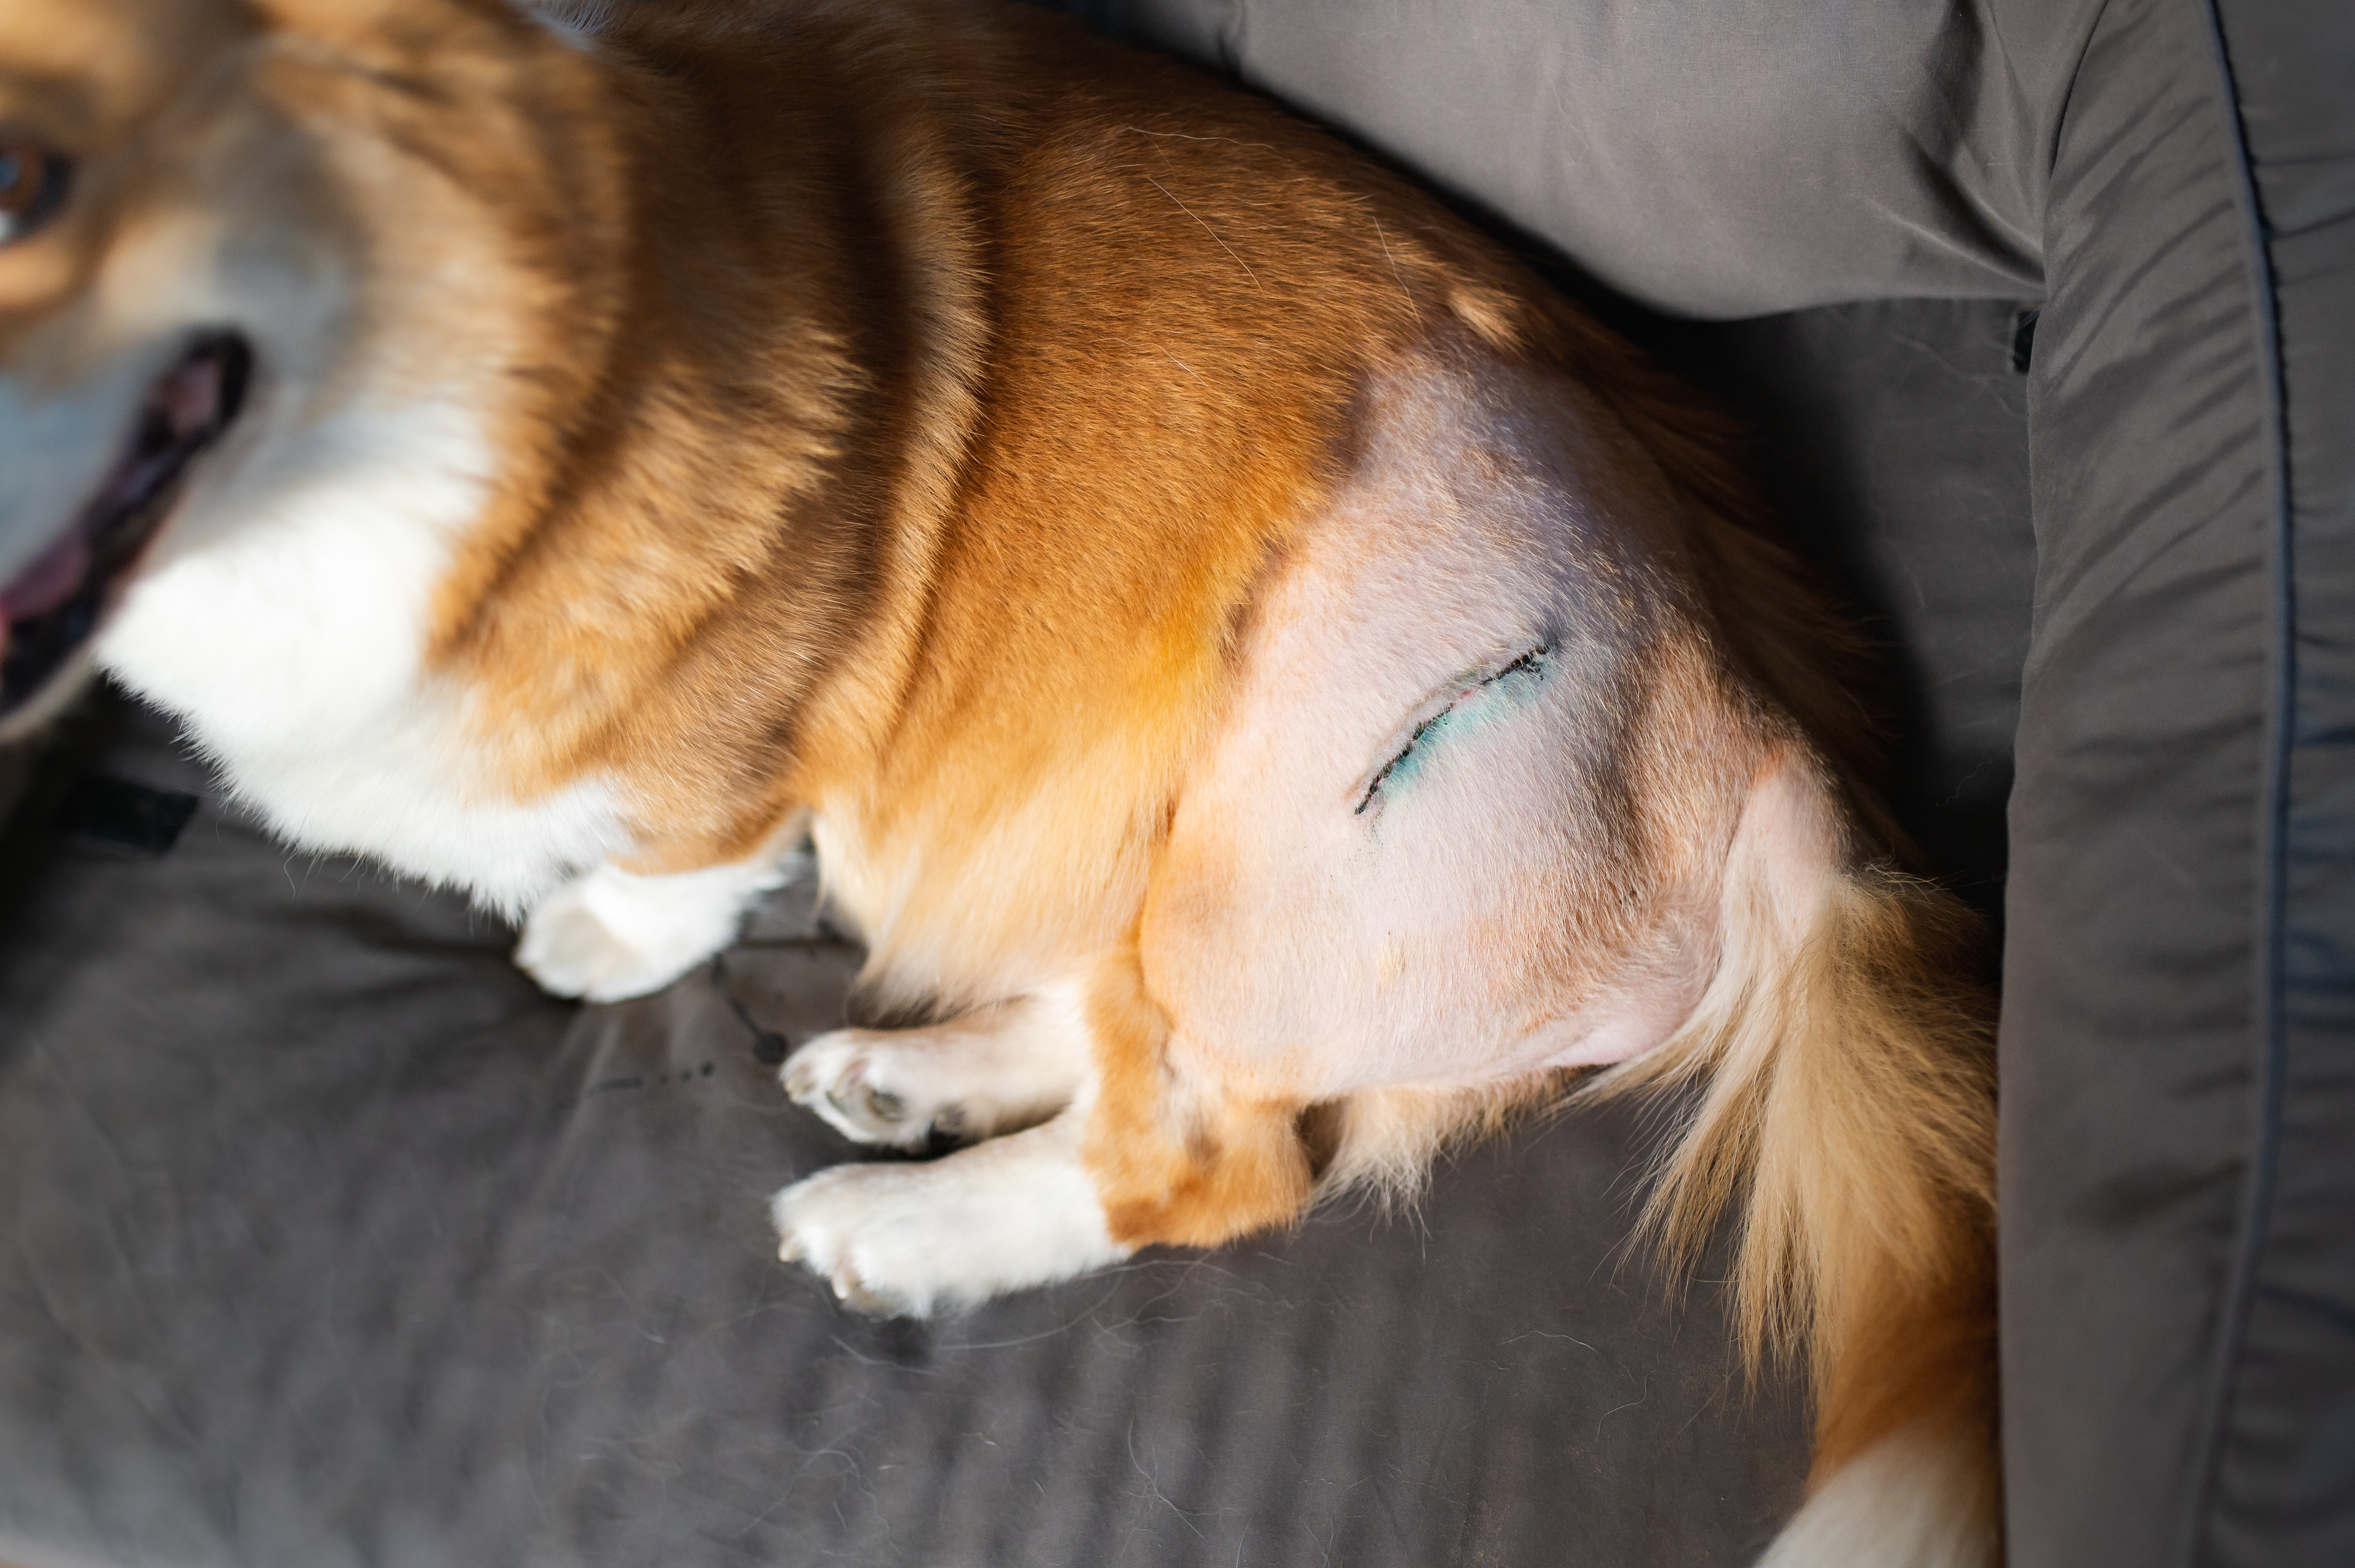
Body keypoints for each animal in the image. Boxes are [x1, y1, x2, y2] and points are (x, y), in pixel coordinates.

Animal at [0, 6, 1997, 1554]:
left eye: (41, 181)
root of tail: (1762, 750)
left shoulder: (743, 749)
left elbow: (672, 860)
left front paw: (594, 942)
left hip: (1259, 829)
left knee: (1206, 1159)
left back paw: (890, 1221)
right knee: (1115, 1038)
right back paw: (900, 1082)